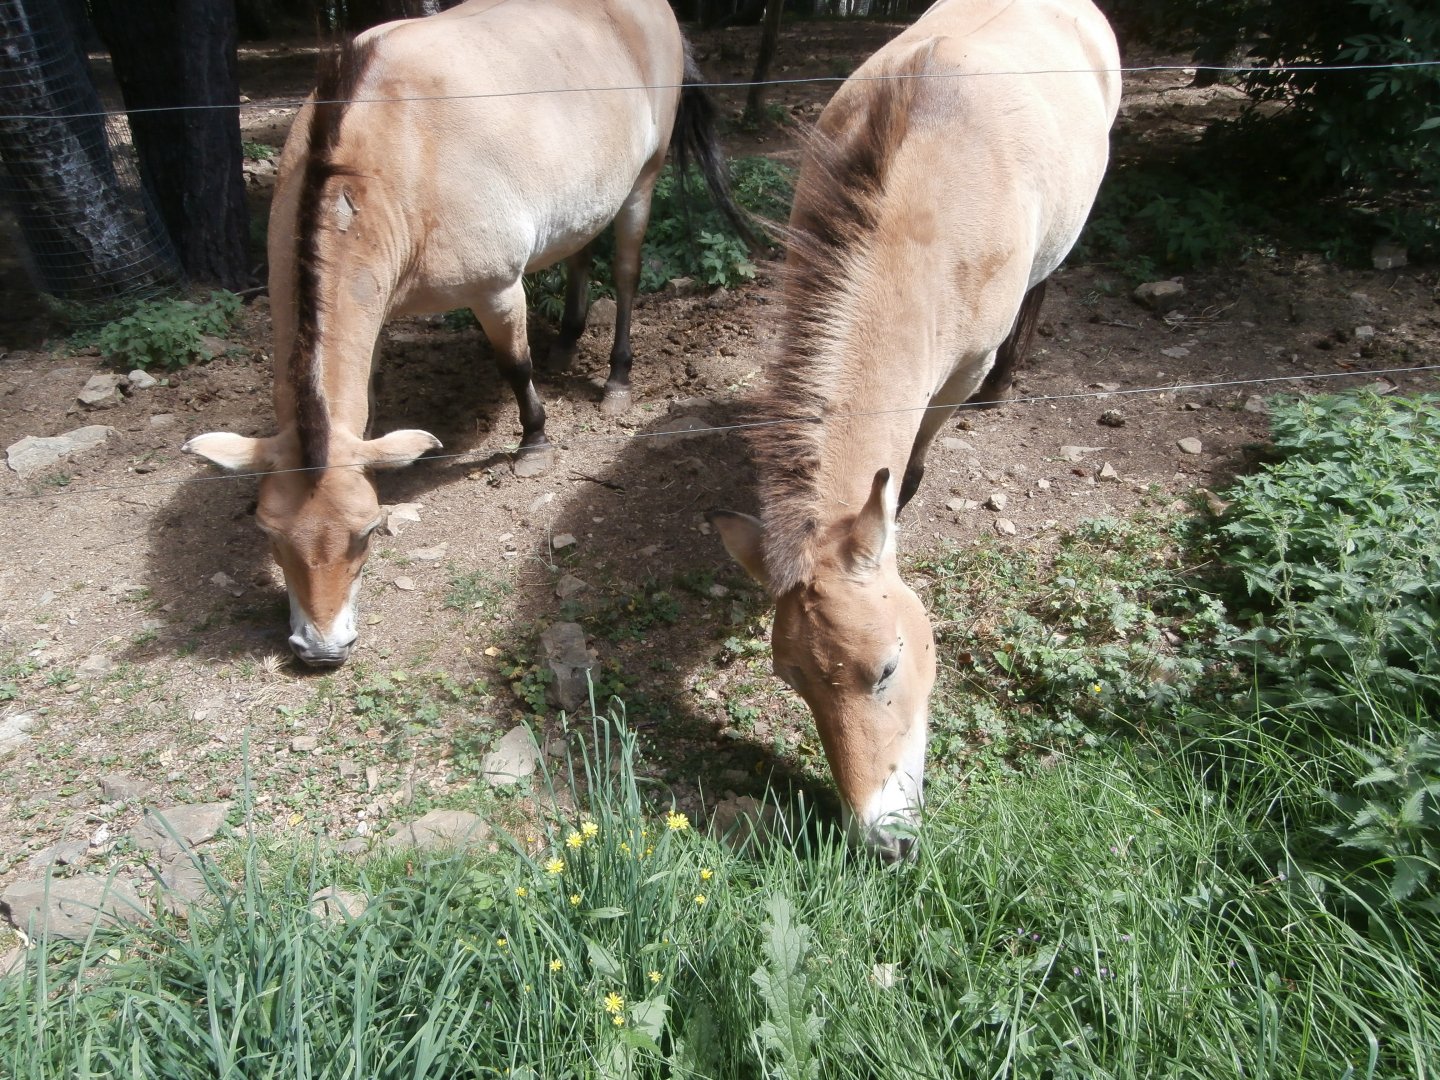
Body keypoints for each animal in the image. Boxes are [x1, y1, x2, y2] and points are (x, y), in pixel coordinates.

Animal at [182, 0, 747, 666]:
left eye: (366, 533)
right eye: (269, 533)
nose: (321, 648)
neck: (391, 154)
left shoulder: (496, 290)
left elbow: (515, 367)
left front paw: (535, 444)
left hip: (642, 183)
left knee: (627, 274)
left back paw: (616, 379)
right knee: (580, 252)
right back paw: (567, 344)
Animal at [709, 0, 1120, 861]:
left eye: (890, 667)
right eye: (792, 681)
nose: (881, 838)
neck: (920, 212)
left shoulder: (955, 370)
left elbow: (921, 448)